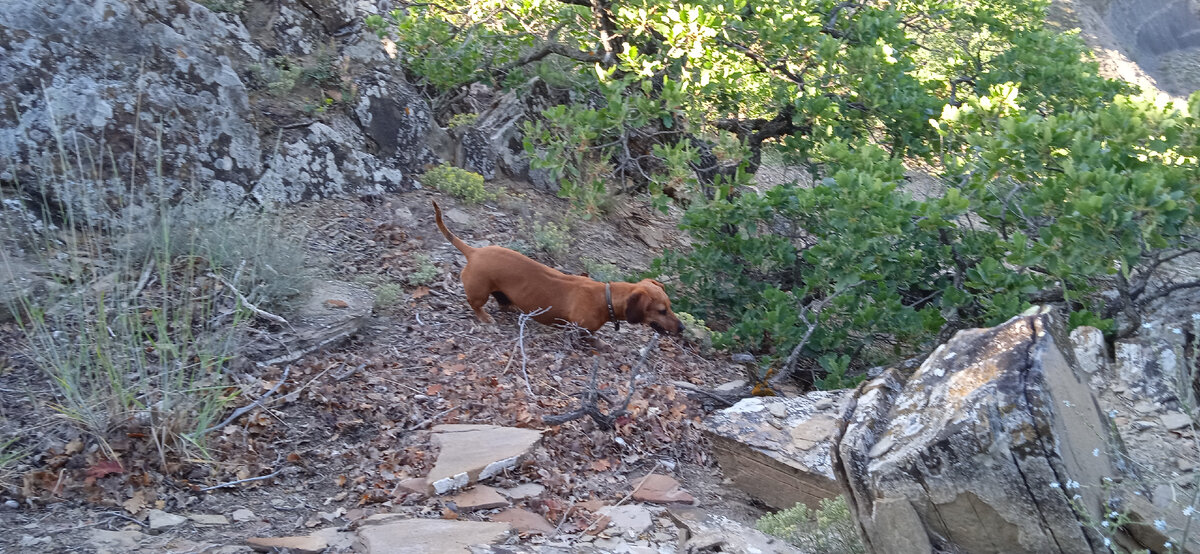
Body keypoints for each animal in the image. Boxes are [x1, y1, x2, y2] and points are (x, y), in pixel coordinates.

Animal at [436, 202, 686, 335]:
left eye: (670, 306)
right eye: (661, 311)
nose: (682, 327)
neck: (606, 297)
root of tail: (474, 252)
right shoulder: (579, 329)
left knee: (502, 301)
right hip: (479, 291)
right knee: (475, 304)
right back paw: (485, 317)